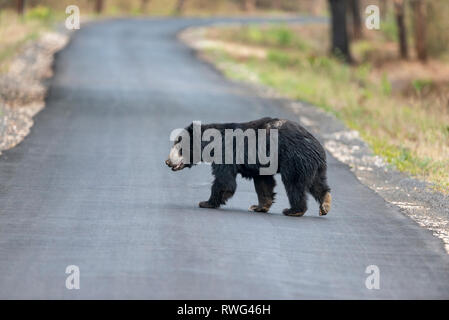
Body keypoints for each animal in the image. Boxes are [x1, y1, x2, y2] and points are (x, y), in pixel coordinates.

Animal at [164, 117, 328, 218]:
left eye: (178, 146)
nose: (167, 161)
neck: (212, 143)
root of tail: (316, 145)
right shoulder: (261, 165)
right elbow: (264, 182)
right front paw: (259, 206)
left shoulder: (227, 152)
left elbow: (224, 180)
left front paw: (206, 202)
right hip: (314, 166)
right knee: (317, 184)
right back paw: (325, 204)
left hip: (294, 159)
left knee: (294, 184)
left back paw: (293, 210)